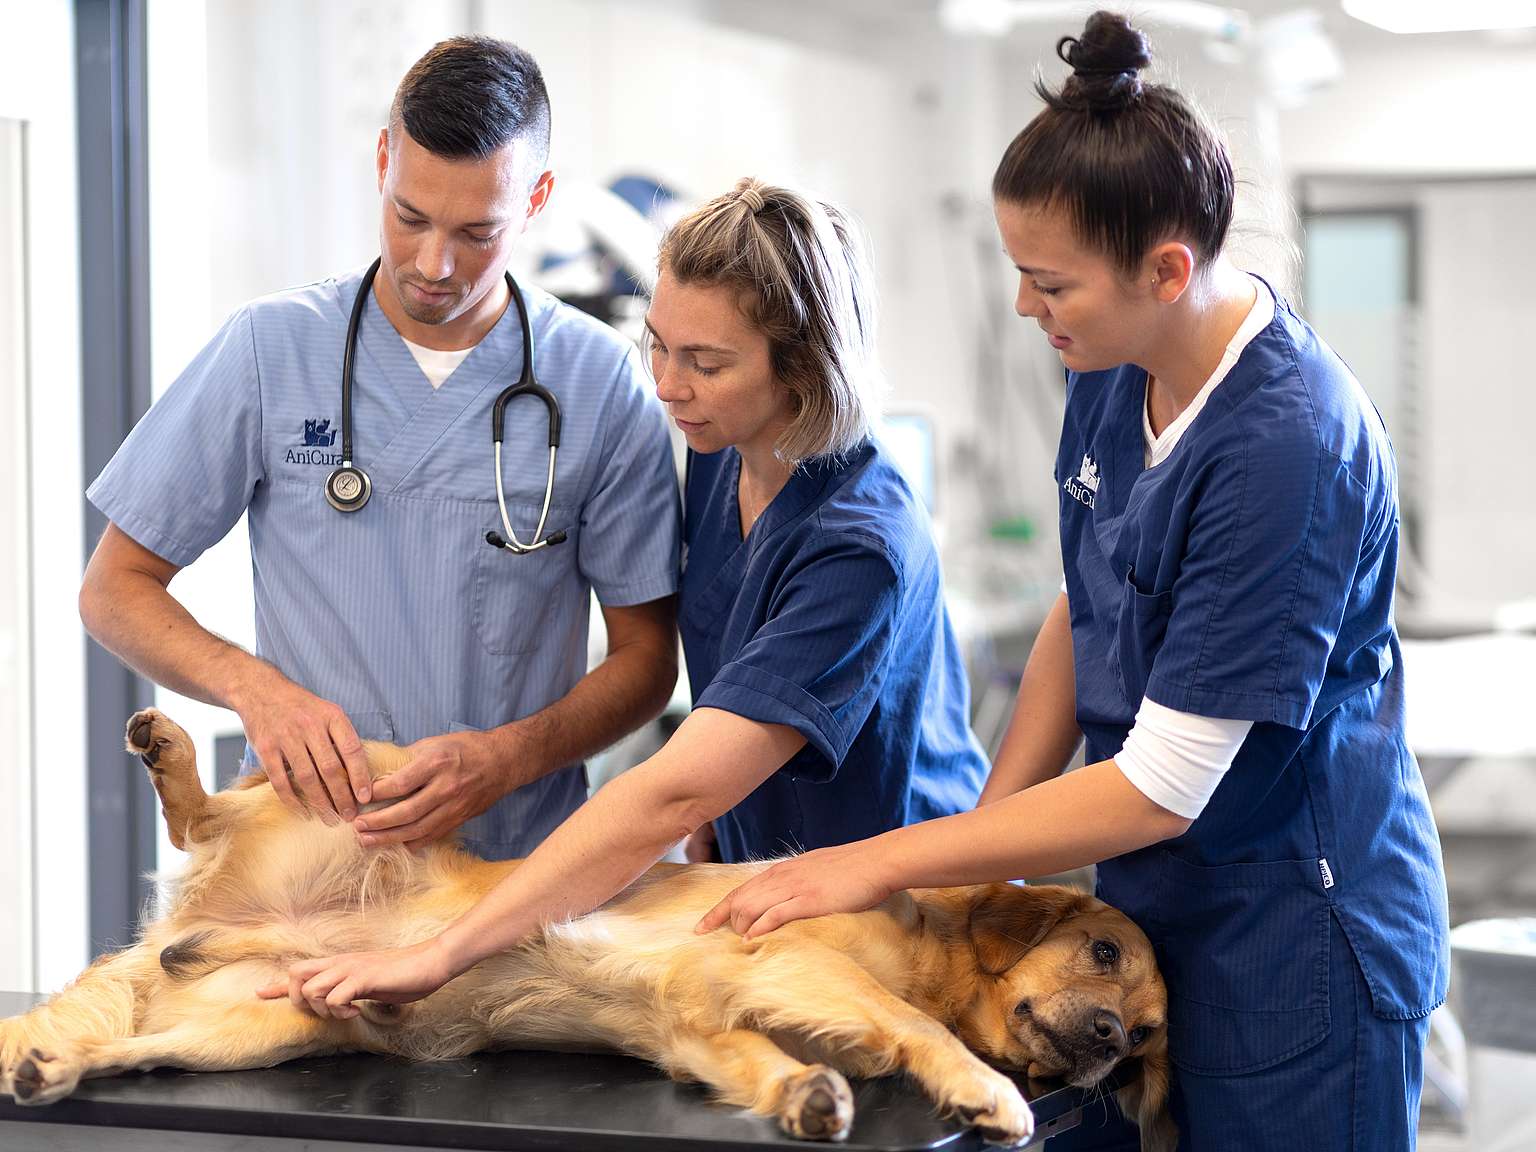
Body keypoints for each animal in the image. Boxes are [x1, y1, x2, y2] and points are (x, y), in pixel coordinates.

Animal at [3, 709, 1173, 1148]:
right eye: (1103, 951)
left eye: (1152, 1035)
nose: (1111, 1041)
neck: (932, 951)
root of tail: (204, 923)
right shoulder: (782, 952)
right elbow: (913, 1029)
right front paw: (984, 1091)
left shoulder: (699, 1026)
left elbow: (765, 1064)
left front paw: (807, 1095)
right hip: (375, 774)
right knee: (204, 812)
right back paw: (166, 745)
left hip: (256, 1028)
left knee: (137, 1046)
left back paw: (53, 1068)